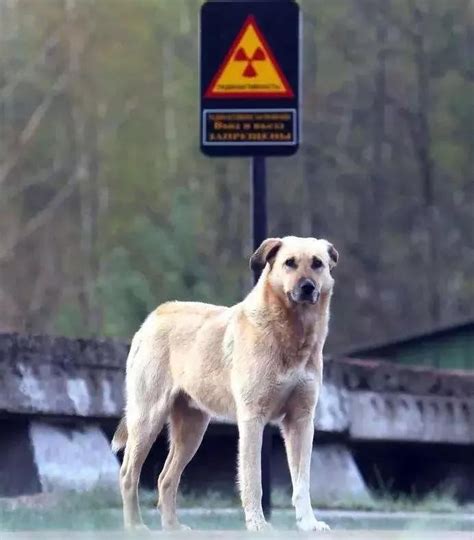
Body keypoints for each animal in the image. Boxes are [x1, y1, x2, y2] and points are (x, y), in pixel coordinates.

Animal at [113, 236, 338, 532]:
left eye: (317, 263)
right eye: (289, 263)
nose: (308, 287)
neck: (289, 333)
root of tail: (154, 316)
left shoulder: (300, 421)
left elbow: (302, 482)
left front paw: (308, 523)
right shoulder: (253, 419)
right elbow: (253, 479)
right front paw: (257, 524)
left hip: (192, 430)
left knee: (166, 478)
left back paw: (173, 528)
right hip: (147, 419)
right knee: (128, 474)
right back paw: (135, 526)